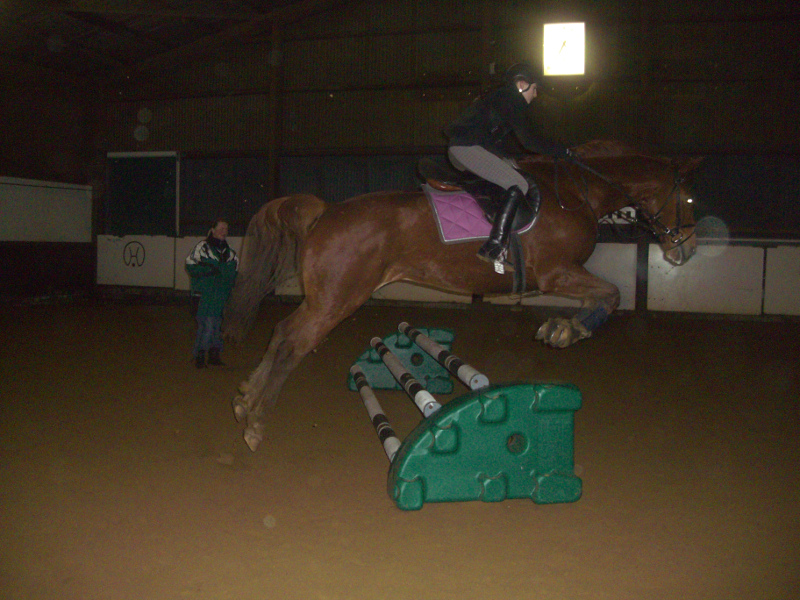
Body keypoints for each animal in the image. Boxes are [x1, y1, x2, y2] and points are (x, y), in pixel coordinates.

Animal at [223, 139, 702, 451]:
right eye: (689, 199)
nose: (686, 251)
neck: (575, 193)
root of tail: (327, 211)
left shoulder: (566, 276)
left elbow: (601, 298)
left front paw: (562, 327)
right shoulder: (557, 274)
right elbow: (612, 294)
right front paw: (567, 330)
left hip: (324, 298)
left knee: (281, 331)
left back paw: (245, 400)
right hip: (337, 300)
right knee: (293, 341)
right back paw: (256, 421)